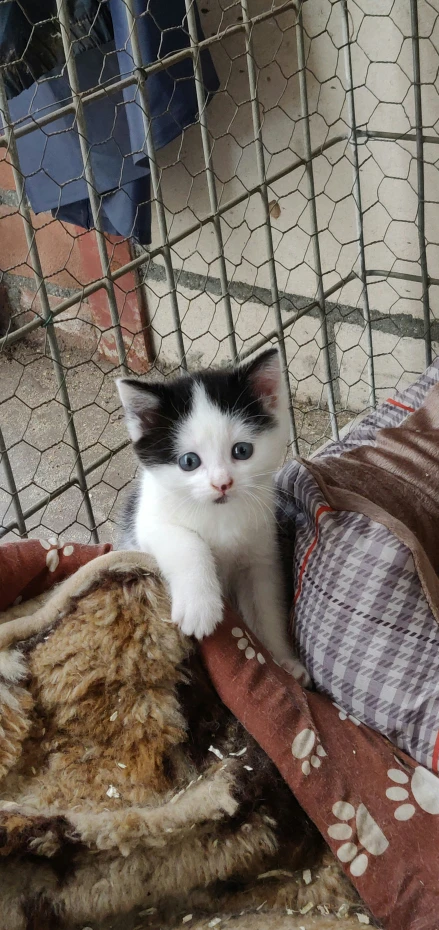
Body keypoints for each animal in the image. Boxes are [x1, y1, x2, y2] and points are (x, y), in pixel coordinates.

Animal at [115, 348, 312, 680]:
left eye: (242, 451)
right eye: (189, 461)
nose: (222, 483)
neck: (220, 514)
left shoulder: (260, 553)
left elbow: (266, 604)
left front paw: (282, 661)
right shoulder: (148, 523)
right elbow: (186, 542)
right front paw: (200, 608)